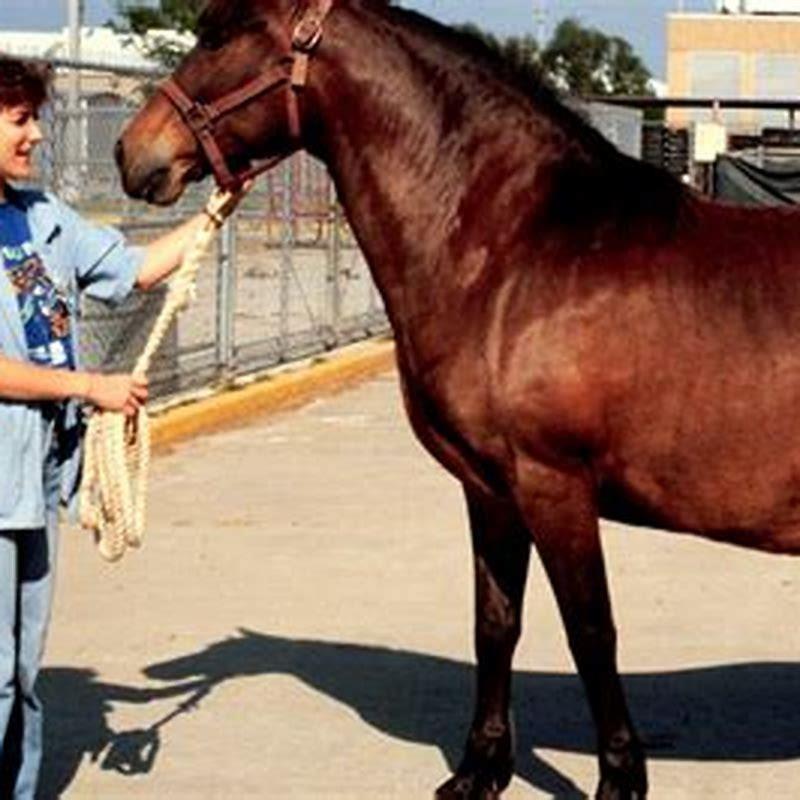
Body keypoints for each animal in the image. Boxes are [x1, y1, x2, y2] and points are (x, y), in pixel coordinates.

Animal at [114, 1, 800, 797]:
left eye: (220, 35)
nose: (133, 153)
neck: (515, 252)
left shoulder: (554, 485)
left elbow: (590, 630)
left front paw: (619, 779)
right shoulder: (492, 488)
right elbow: (495, 622)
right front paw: (480, 770)